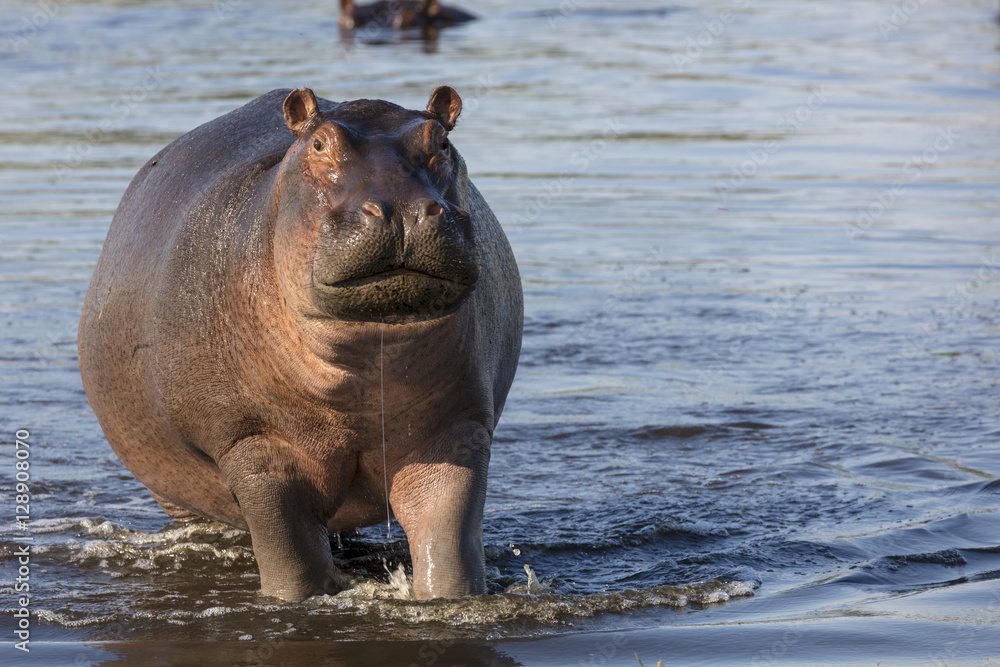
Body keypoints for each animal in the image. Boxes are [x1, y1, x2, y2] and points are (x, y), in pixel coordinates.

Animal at [78, 86, 524, 604]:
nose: (402, 209)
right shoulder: (252, 444)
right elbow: (292, 559)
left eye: (444, 143)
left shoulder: (457, 429)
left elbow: (448, 541)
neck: (359, 365)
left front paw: (451, 600)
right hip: (176, 490)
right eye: (318, 144)